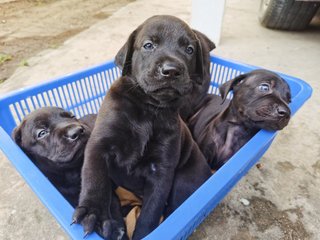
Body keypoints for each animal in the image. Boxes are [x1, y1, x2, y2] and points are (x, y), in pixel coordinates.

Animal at [74, 15, 214, 240]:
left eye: (190, 49)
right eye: (149, 45)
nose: (171, 70)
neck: (148, 107)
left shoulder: (162, 171)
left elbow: (151, 211)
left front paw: (143, 233)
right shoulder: (99, 145)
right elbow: (95, 177)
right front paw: (92, 211)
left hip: (182, 179)